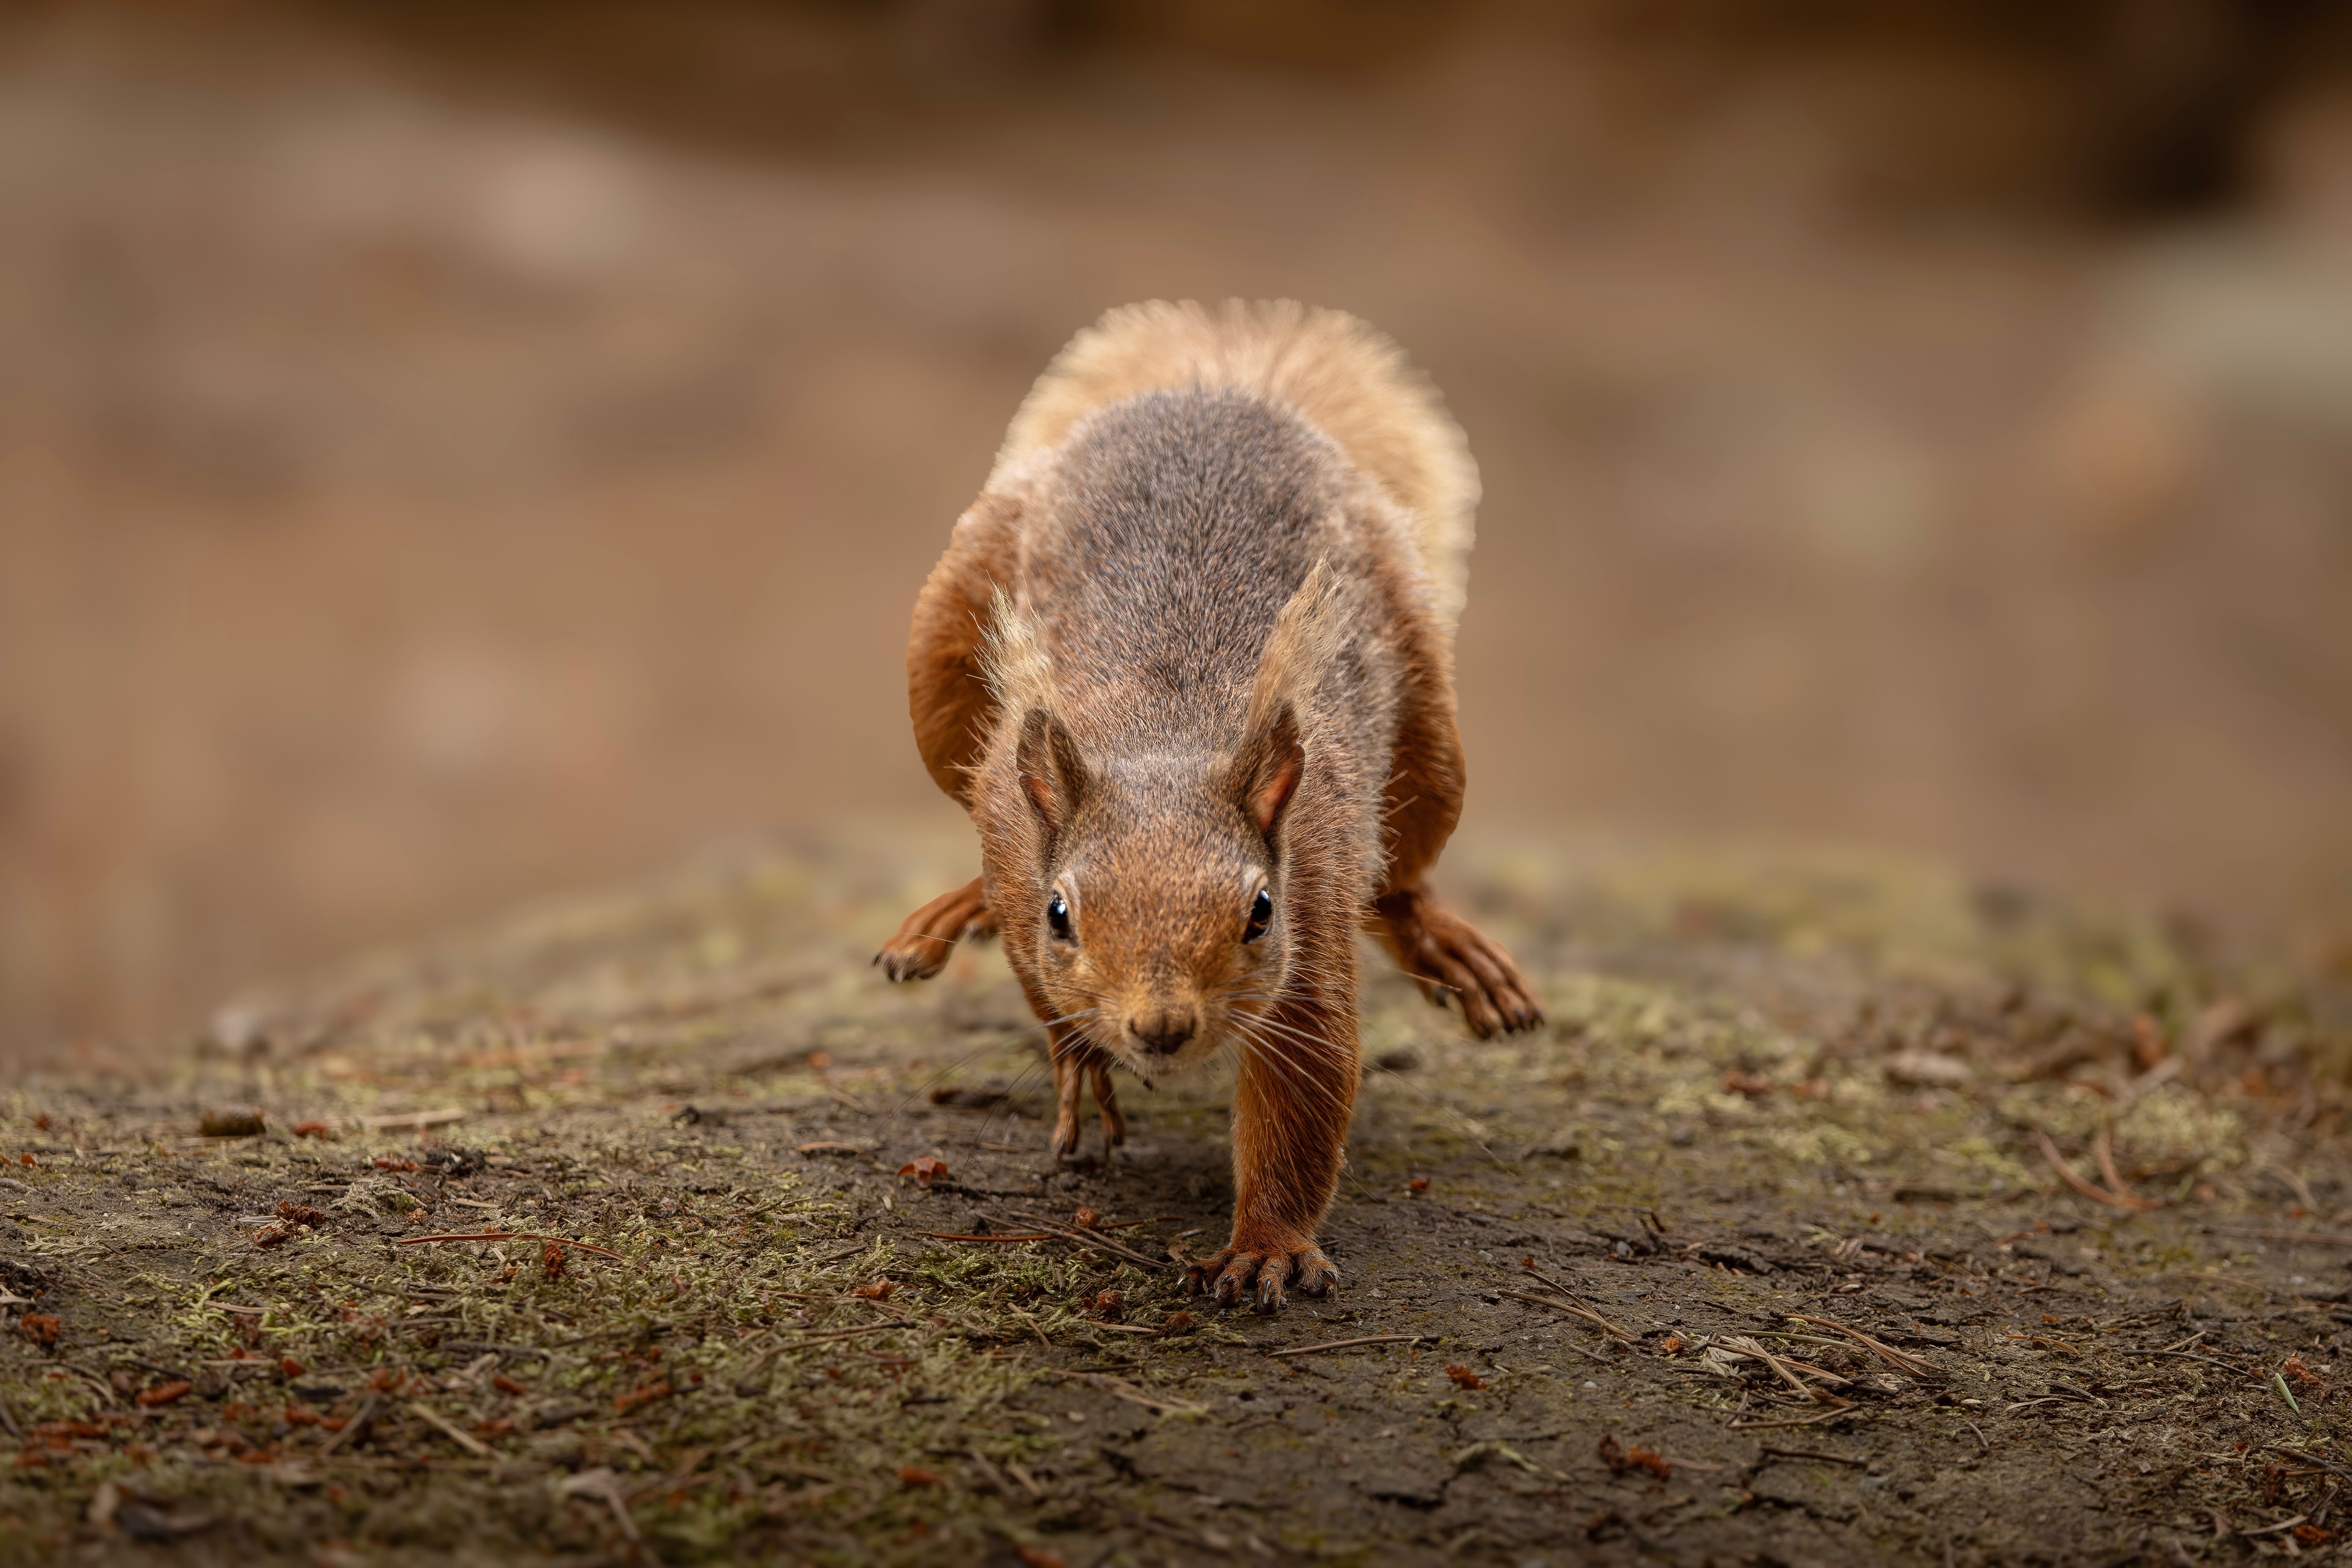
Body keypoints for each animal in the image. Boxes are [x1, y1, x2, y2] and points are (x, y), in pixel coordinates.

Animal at [874, 299, 1542, 1312]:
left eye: (1259, 911)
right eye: (1061, 914)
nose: (1161, 1028)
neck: (1165, 738)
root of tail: (1221, 389)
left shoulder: (1311, 908)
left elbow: (1305, 1094)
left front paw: (1266, 1246)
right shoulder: (1013, 849)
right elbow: (1039, 983)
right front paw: (1080, 1065)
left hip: (1431, 732)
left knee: (1406, 874)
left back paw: (1452, 947)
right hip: (941, 652)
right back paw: (943, 917)